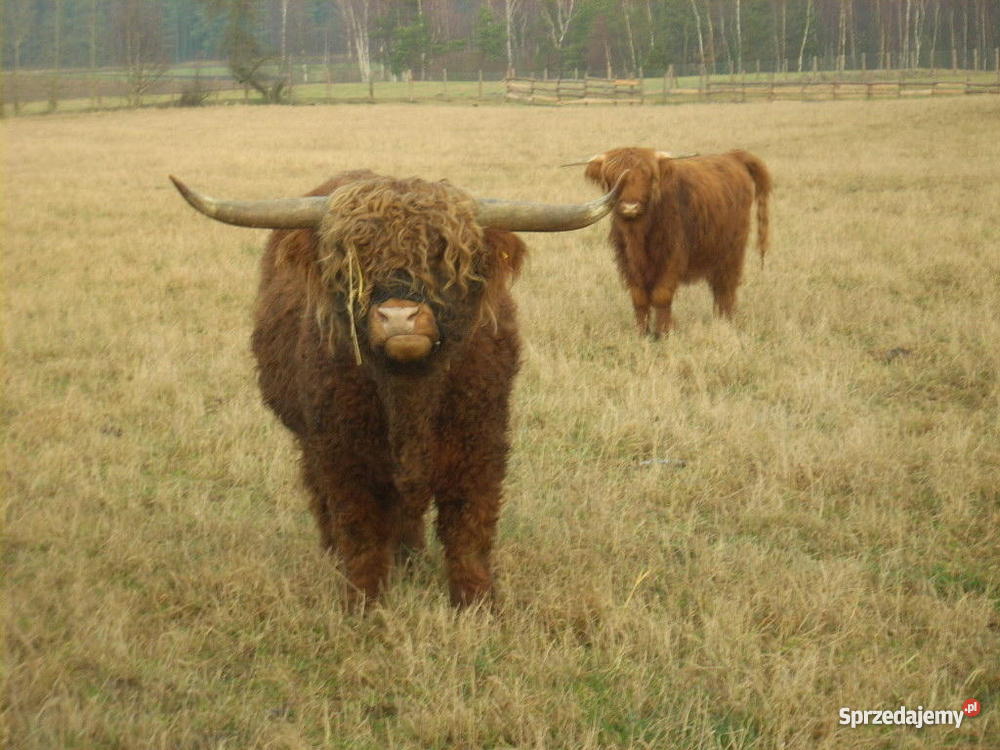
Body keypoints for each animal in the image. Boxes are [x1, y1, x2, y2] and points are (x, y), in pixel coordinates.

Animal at [170, 170, 620, 608]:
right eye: (356, 262)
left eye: (443, 258)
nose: (399, 317)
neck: (410, 395)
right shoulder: (342, 454)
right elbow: (360, 532)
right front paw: (364, 605)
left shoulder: (481, 445)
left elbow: (469, 529)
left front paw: (477, 604)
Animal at [579, 147, 771, 337]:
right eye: (613, 176)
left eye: (648, 176)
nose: (630, 207)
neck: (638, 233)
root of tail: (733, 155)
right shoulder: (627, 261)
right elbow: (638, 297)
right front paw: (642, 332)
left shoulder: (672, 257)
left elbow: (661, 295)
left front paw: (664, 332)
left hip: (732, 250)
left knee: (725, 288)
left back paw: (724, 321)